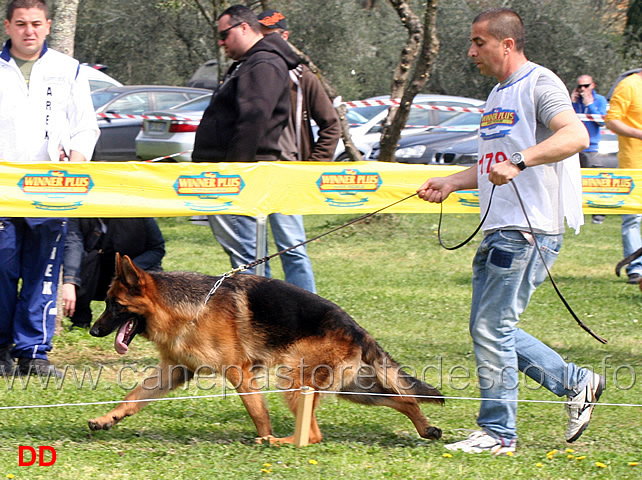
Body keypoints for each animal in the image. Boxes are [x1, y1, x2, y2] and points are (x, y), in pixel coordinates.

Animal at [87, 253, 442, 444]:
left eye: (114, 305)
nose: (93, 330)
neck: (188, 307)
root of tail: (355, 328)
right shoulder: (174, 371)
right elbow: (133, 397)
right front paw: (108, 419)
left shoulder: (239, 373)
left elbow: (257, 411)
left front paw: (265, 435)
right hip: (354, 389)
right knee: (405, 399)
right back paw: (426, 428)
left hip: (294, 379)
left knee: (313, 434)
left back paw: (281, 442)